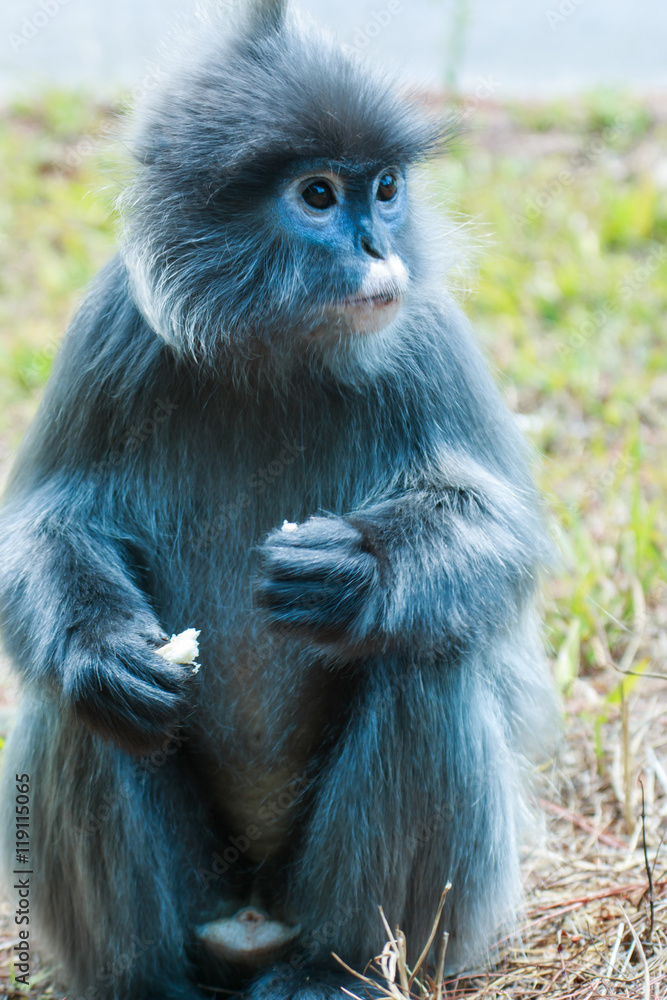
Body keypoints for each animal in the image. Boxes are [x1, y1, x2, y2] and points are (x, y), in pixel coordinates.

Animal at [0, 1, 557, 998]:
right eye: (318, 196)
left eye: (385, 190)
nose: (379, 247)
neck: (276, 355)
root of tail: (253, 923)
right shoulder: (113, 322)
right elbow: (50, 524)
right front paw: (101, 647)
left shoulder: (422, 329)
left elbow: (500, 535)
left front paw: (358, 572)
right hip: (201, 897)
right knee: (83, 708)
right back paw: (151, 978)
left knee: (422, 661)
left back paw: (336, 967)